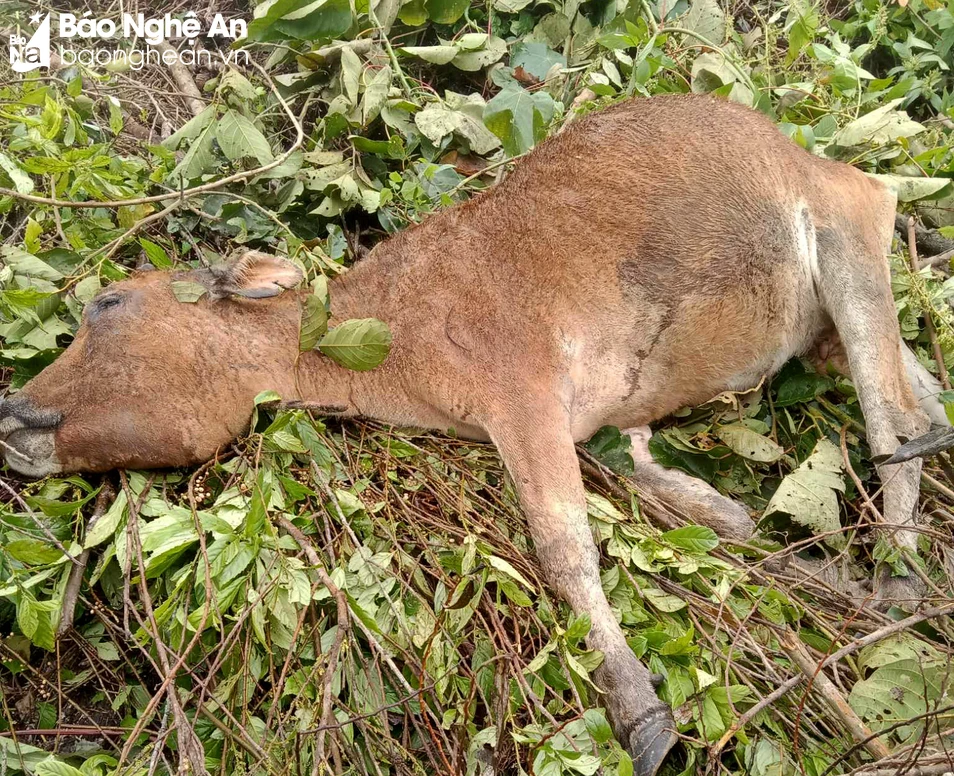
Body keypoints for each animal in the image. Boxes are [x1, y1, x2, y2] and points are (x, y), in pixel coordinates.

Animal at [0, 95, 936, 776]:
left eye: (108, 303)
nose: (12, 408)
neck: (395, 327)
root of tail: (809, 156)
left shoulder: (523, 396)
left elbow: (564, 549)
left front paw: (641, 713)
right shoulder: (583, 427)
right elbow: (701, 515)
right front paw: (763, 543)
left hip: (844, 234)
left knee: (896, 418)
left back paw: (900, 574)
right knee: (920, 392)